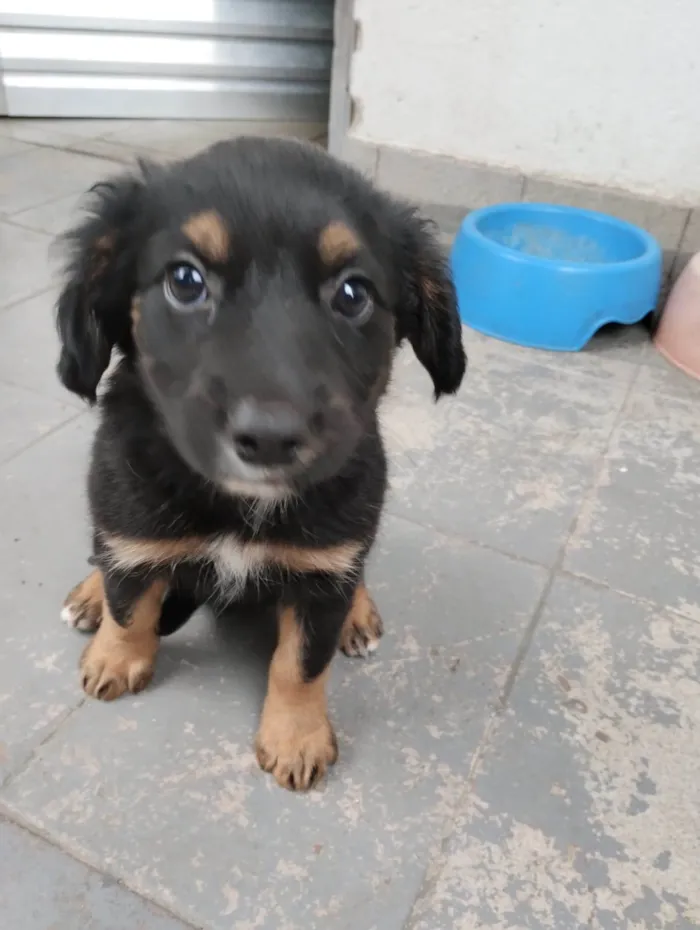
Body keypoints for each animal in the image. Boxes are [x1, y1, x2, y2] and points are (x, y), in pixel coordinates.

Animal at [56, 136, 464, 792]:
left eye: (354, 294)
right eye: (185, 281)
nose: (270, 439)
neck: (240, 502)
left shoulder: (324, 573)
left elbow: (301, 663)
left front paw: (295, 739)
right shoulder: (129, 511)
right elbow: (130, 598)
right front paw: (115, 658)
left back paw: (359, 612)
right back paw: (90, 593)